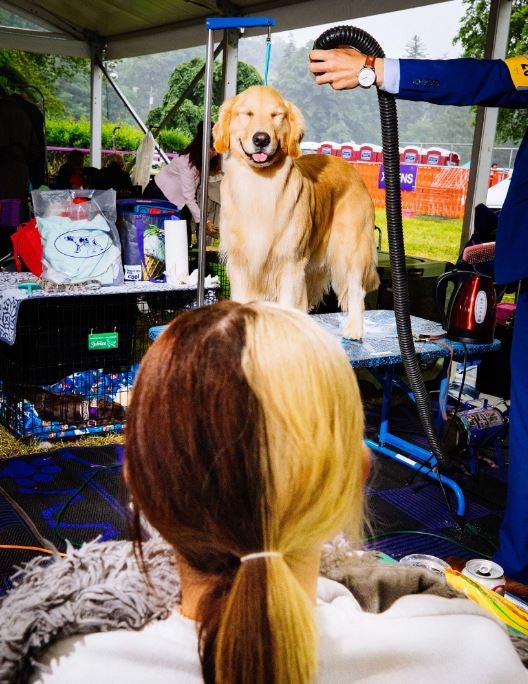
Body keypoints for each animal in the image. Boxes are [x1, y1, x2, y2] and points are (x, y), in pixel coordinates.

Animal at [213, 85, 380, 340]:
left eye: (276, 115)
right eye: (247, 113)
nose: (261, 139)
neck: (259, 186)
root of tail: (350, 167)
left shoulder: (289, 263)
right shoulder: (241, 264)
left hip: (351, 247)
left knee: (356, 289)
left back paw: (354, 328)